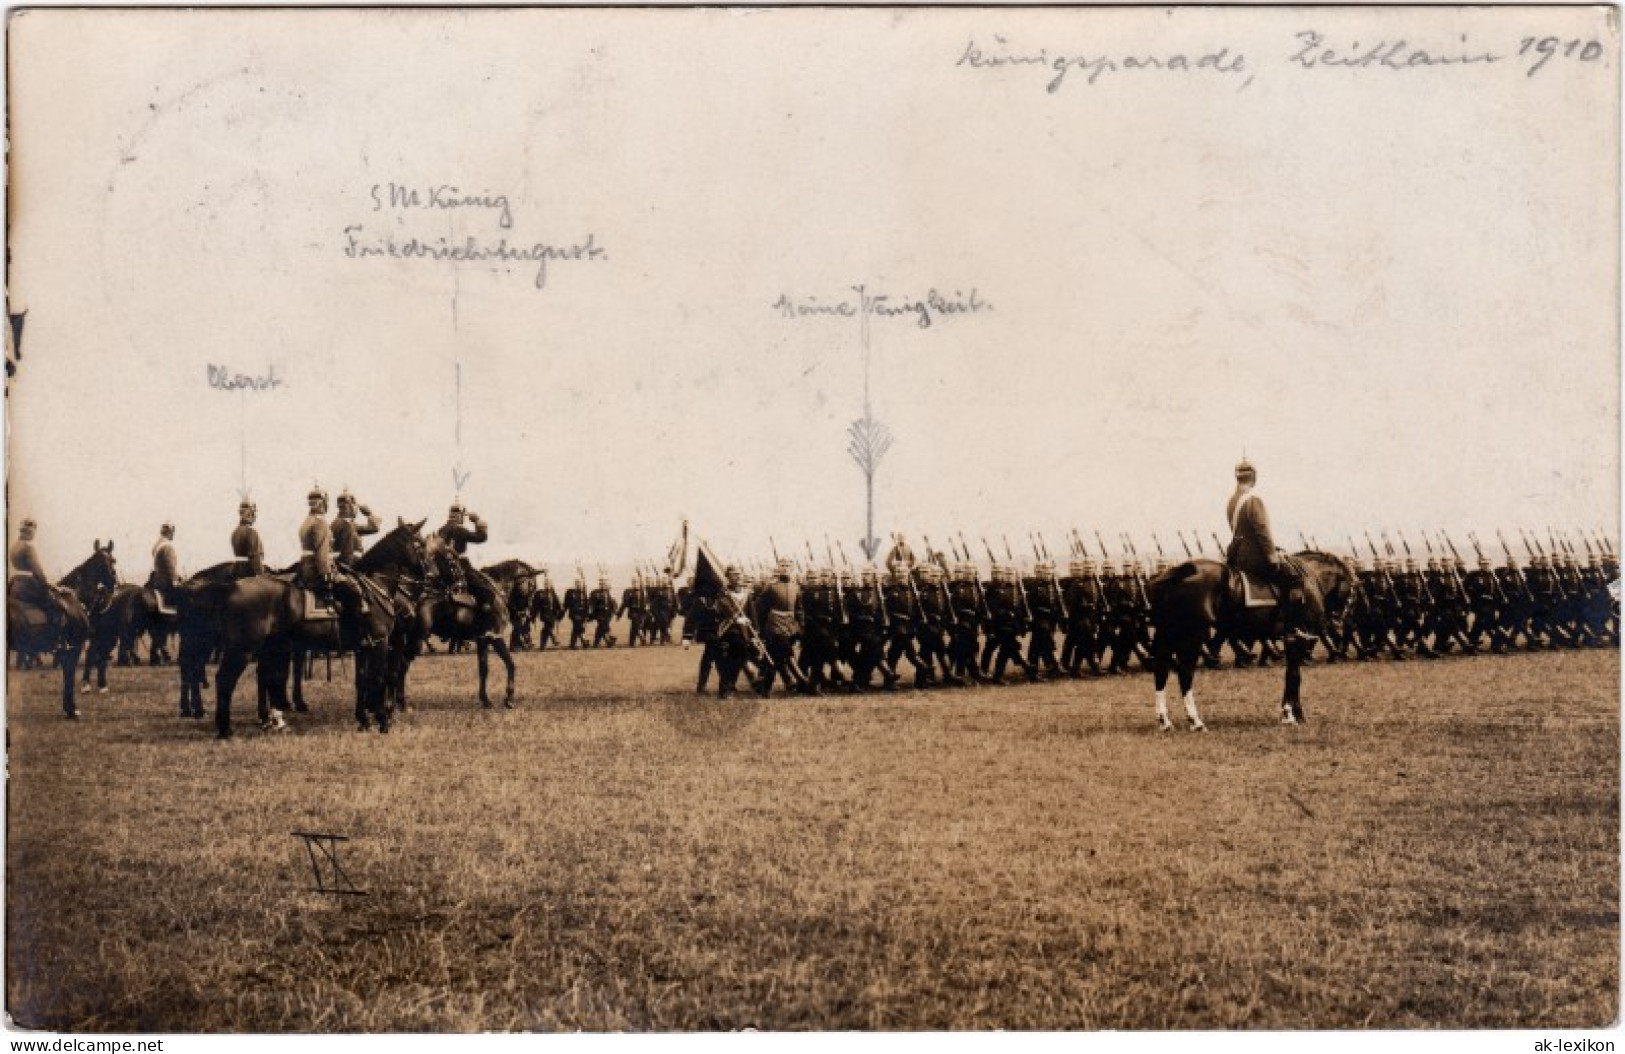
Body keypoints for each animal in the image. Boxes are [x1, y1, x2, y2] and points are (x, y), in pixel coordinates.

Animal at [10, 542, 115, 714]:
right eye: (109, 562)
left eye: (114, 560)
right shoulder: (74, 647)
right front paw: (72, 709)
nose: (114, 584)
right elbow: (69, 677)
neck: (76, 597)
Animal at [182, 519, 432, 737]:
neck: (374, 588)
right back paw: (225, 728)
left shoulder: (364, 647)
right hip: (241, 649)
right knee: (224, 680)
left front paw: (363, 720)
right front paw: (382, 721)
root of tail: (230, 587)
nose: (430, 575)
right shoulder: (380, 643)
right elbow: (379, 678)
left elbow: (362, 681)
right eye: (420, 544)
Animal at [419, 535, 513, 708]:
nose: (429, 577)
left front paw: (485, 699)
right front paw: (509, 698)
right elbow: (510, 663)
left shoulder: (483, 639)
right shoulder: (495, 637)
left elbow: (483, 669)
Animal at [1150, 552, 1365, 730]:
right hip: (1191, 636)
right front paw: (1290, 715)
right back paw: (1195, 721)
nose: (1344, 621)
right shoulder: (1296, 638)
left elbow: (1292, 676)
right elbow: (1294, 676)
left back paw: (1165, 721)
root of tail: (1181, 572)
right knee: (1185, 673)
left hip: (1169, 635)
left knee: (1161, 669)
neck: (1310, 580)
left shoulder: (1292, 640)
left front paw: (1295, 714)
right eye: (1354, 592)